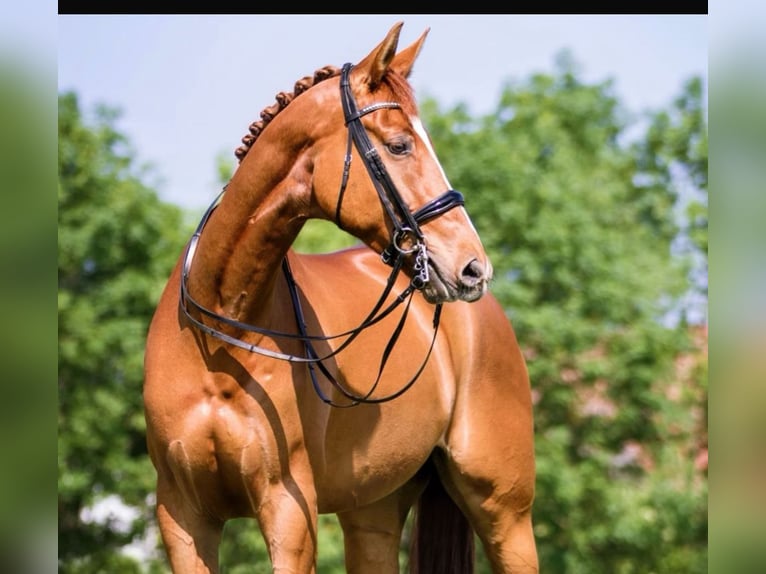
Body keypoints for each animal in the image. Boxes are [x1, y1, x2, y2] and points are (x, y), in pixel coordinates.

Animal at [146, 20, 540, 572]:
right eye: (399, 146)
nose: (472, 266)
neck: (221, 333)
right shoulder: (182, 515)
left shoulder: (288, 510)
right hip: (373, 512)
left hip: (504, 511)